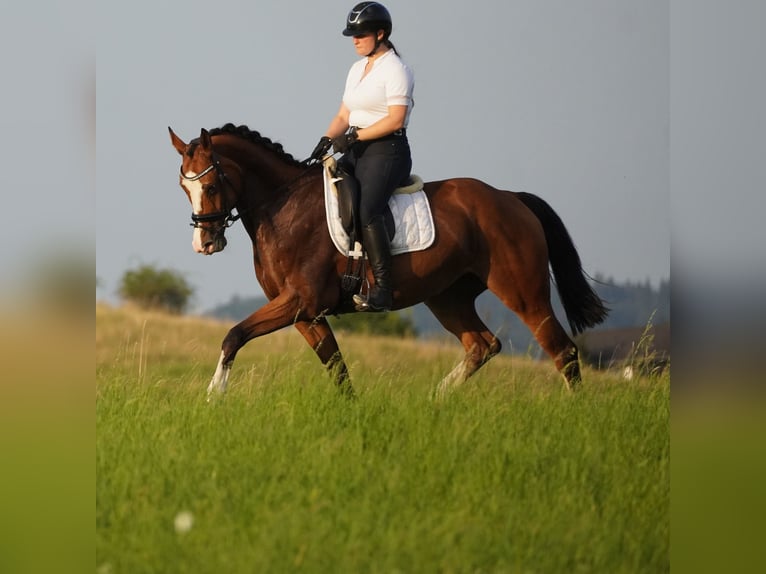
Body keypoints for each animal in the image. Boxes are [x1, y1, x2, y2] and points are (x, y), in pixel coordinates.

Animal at [170, 124, 612, 398]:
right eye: (183, 186)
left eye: (211, 184)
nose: (204, 242)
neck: (284, 208)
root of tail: (511, 198)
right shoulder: (306, 316)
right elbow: (338, 369)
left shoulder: (300, 302)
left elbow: (234, 335)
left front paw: (213, 396)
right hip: (447, 297)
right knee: (482, 345)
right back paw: (436, 400)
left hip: (523, 293)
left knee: (562, 352)